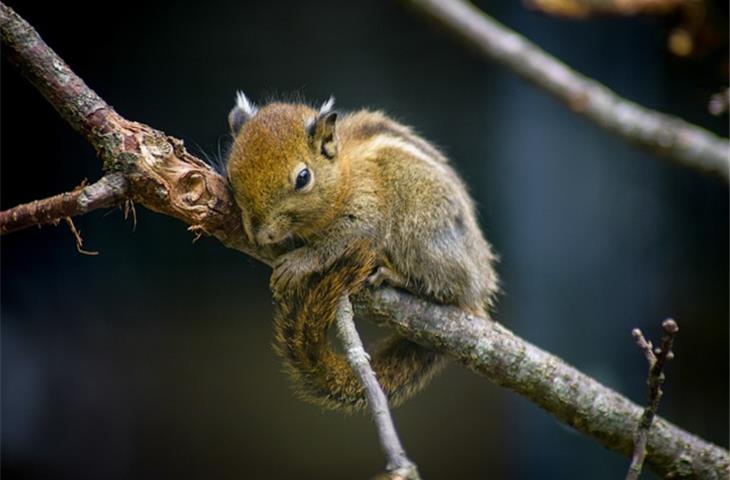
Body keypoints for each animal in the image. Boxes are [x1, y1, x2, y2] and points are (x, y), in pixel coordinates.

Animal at [219, 94, 498, 412]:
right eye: (231, 174)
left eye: (303, 178)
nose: (259, 233)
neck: (345, 175)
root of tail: (479, 292)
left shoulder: (365, 211)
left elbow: (334, 242)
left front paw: (298, 263)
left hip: (423, 233)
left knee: (448, 290)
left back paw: (394, 276)